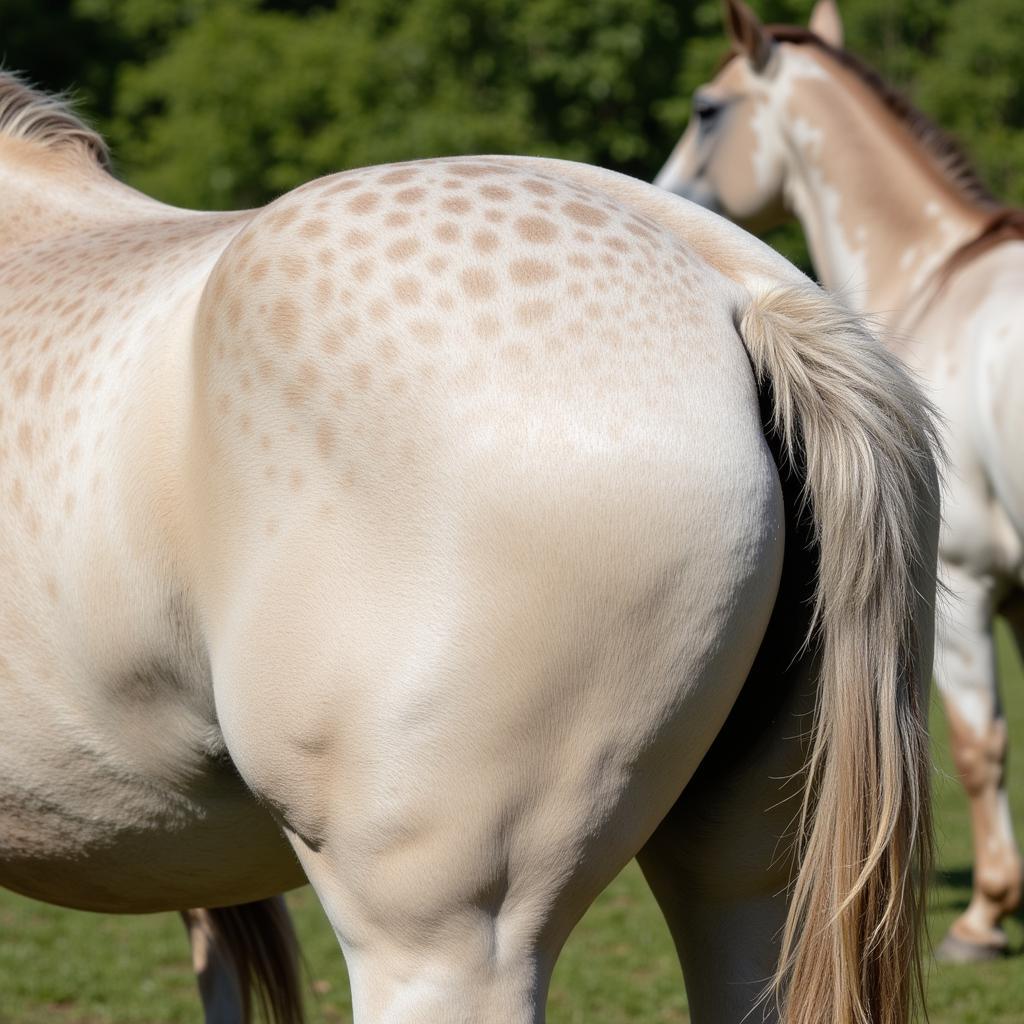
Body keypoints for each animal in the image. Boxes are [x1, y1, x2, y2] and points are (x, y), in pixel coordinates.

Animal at [655, 0, 1024, 958]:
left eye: (707, 108)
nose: (662, 191)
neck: (937, 281)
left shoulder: (969, 586)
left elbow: (979, 748)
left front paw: (984, 916)